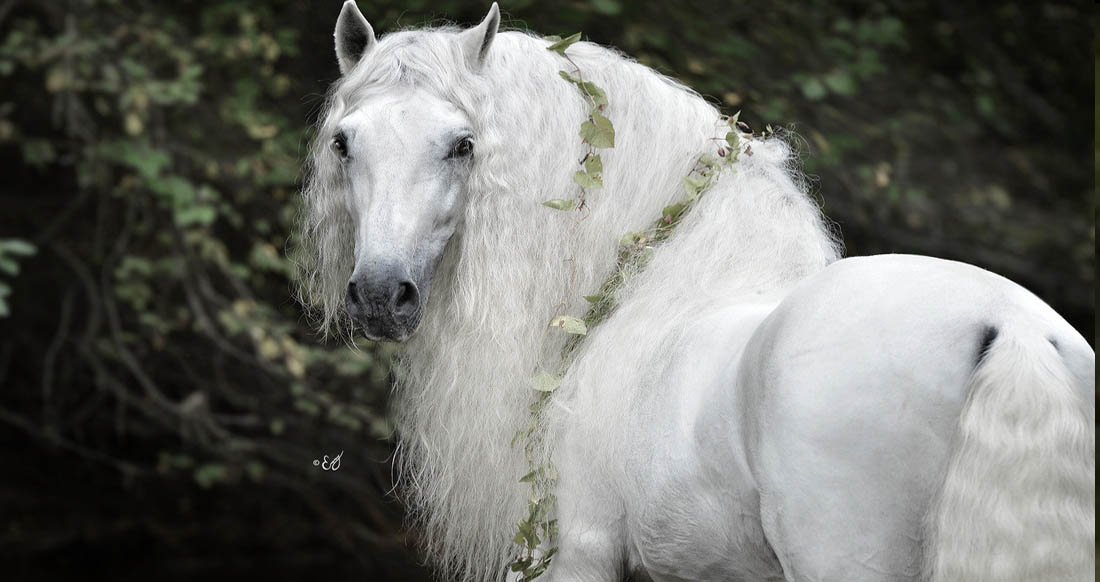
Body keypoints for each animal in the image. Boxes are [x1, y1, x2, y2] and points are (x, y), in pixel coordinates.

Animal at [292, 2, 1091, 576]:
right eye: (344, 142)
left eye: (464, 145)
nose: (379, 295)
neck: (655, 291)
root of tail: (1010, 326)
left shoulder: (575, 554)